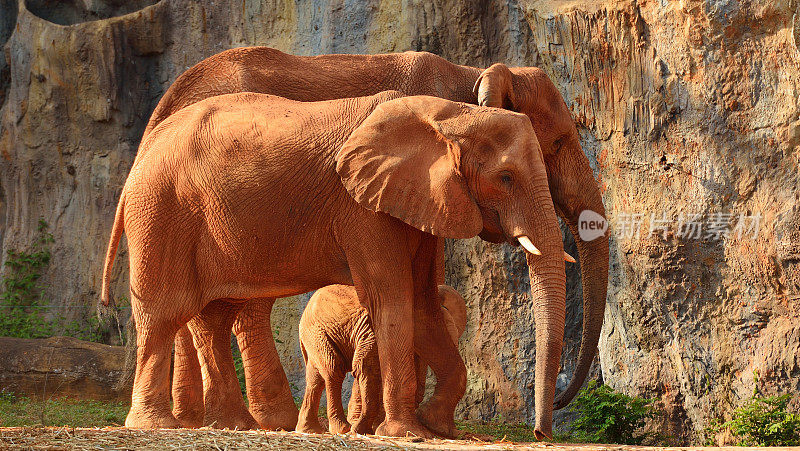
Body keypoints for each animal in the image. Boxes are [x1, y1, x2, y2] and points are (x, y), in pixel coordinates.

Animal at [296, 284, 466, 436]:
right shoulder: (373, 332)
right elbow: (365, 367)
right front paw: (361, 430)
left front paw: (372, 428)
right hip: (317, 332)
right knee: (333, 371)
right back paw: (342, 428)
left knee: (315, 378)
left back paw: (309, 430)